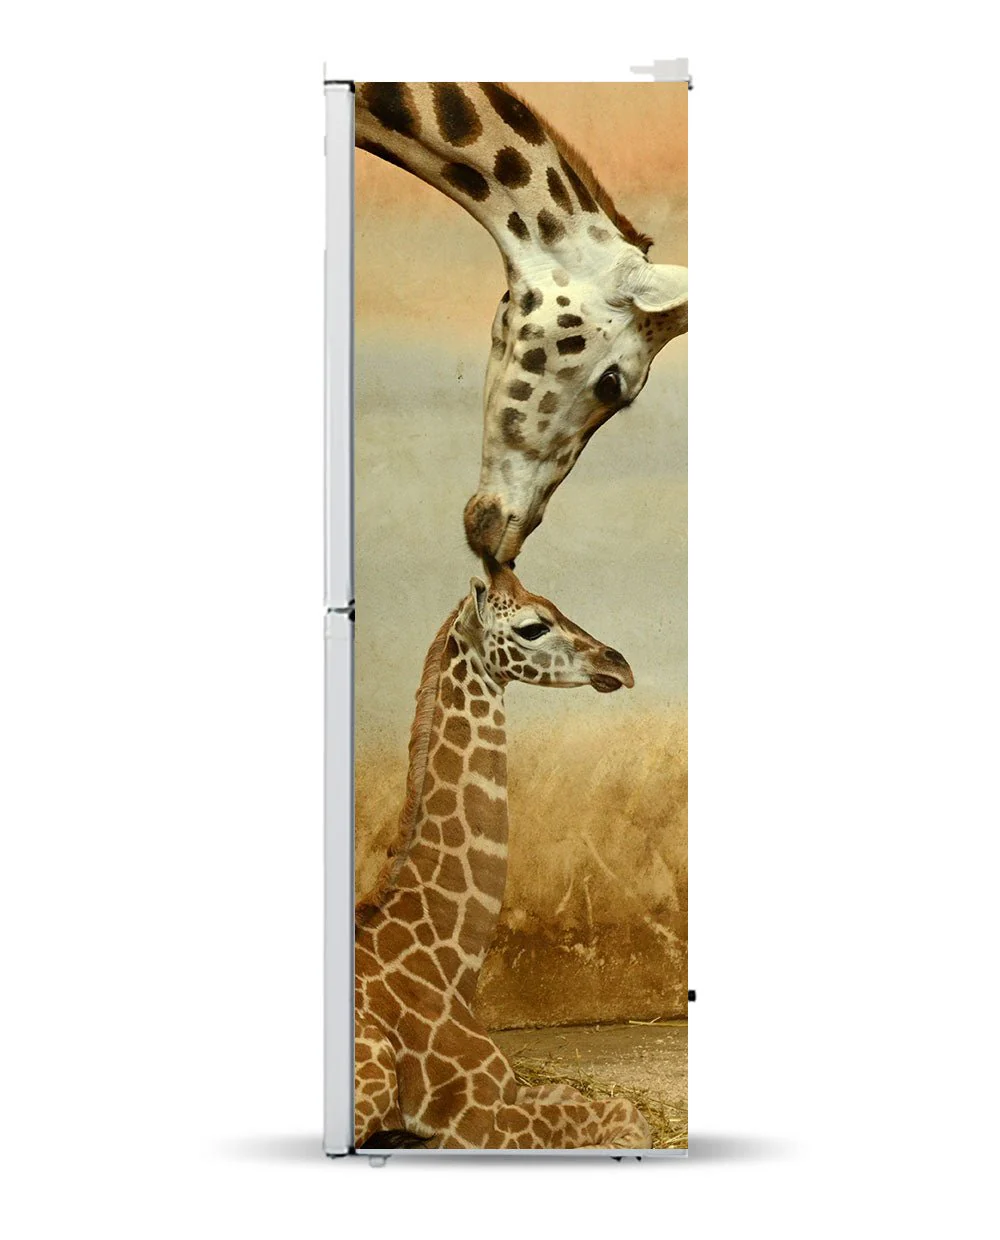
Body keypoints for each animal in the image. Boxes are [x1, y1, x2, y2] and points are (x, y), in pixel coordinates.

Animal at [354, 562, 649, 1149]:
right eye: (533, 626)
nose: (619, 665)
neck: (446, 957)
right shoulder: (478, 1120)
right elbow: (630, 1117)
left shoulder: (510, 1090)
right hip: (370, 1076)